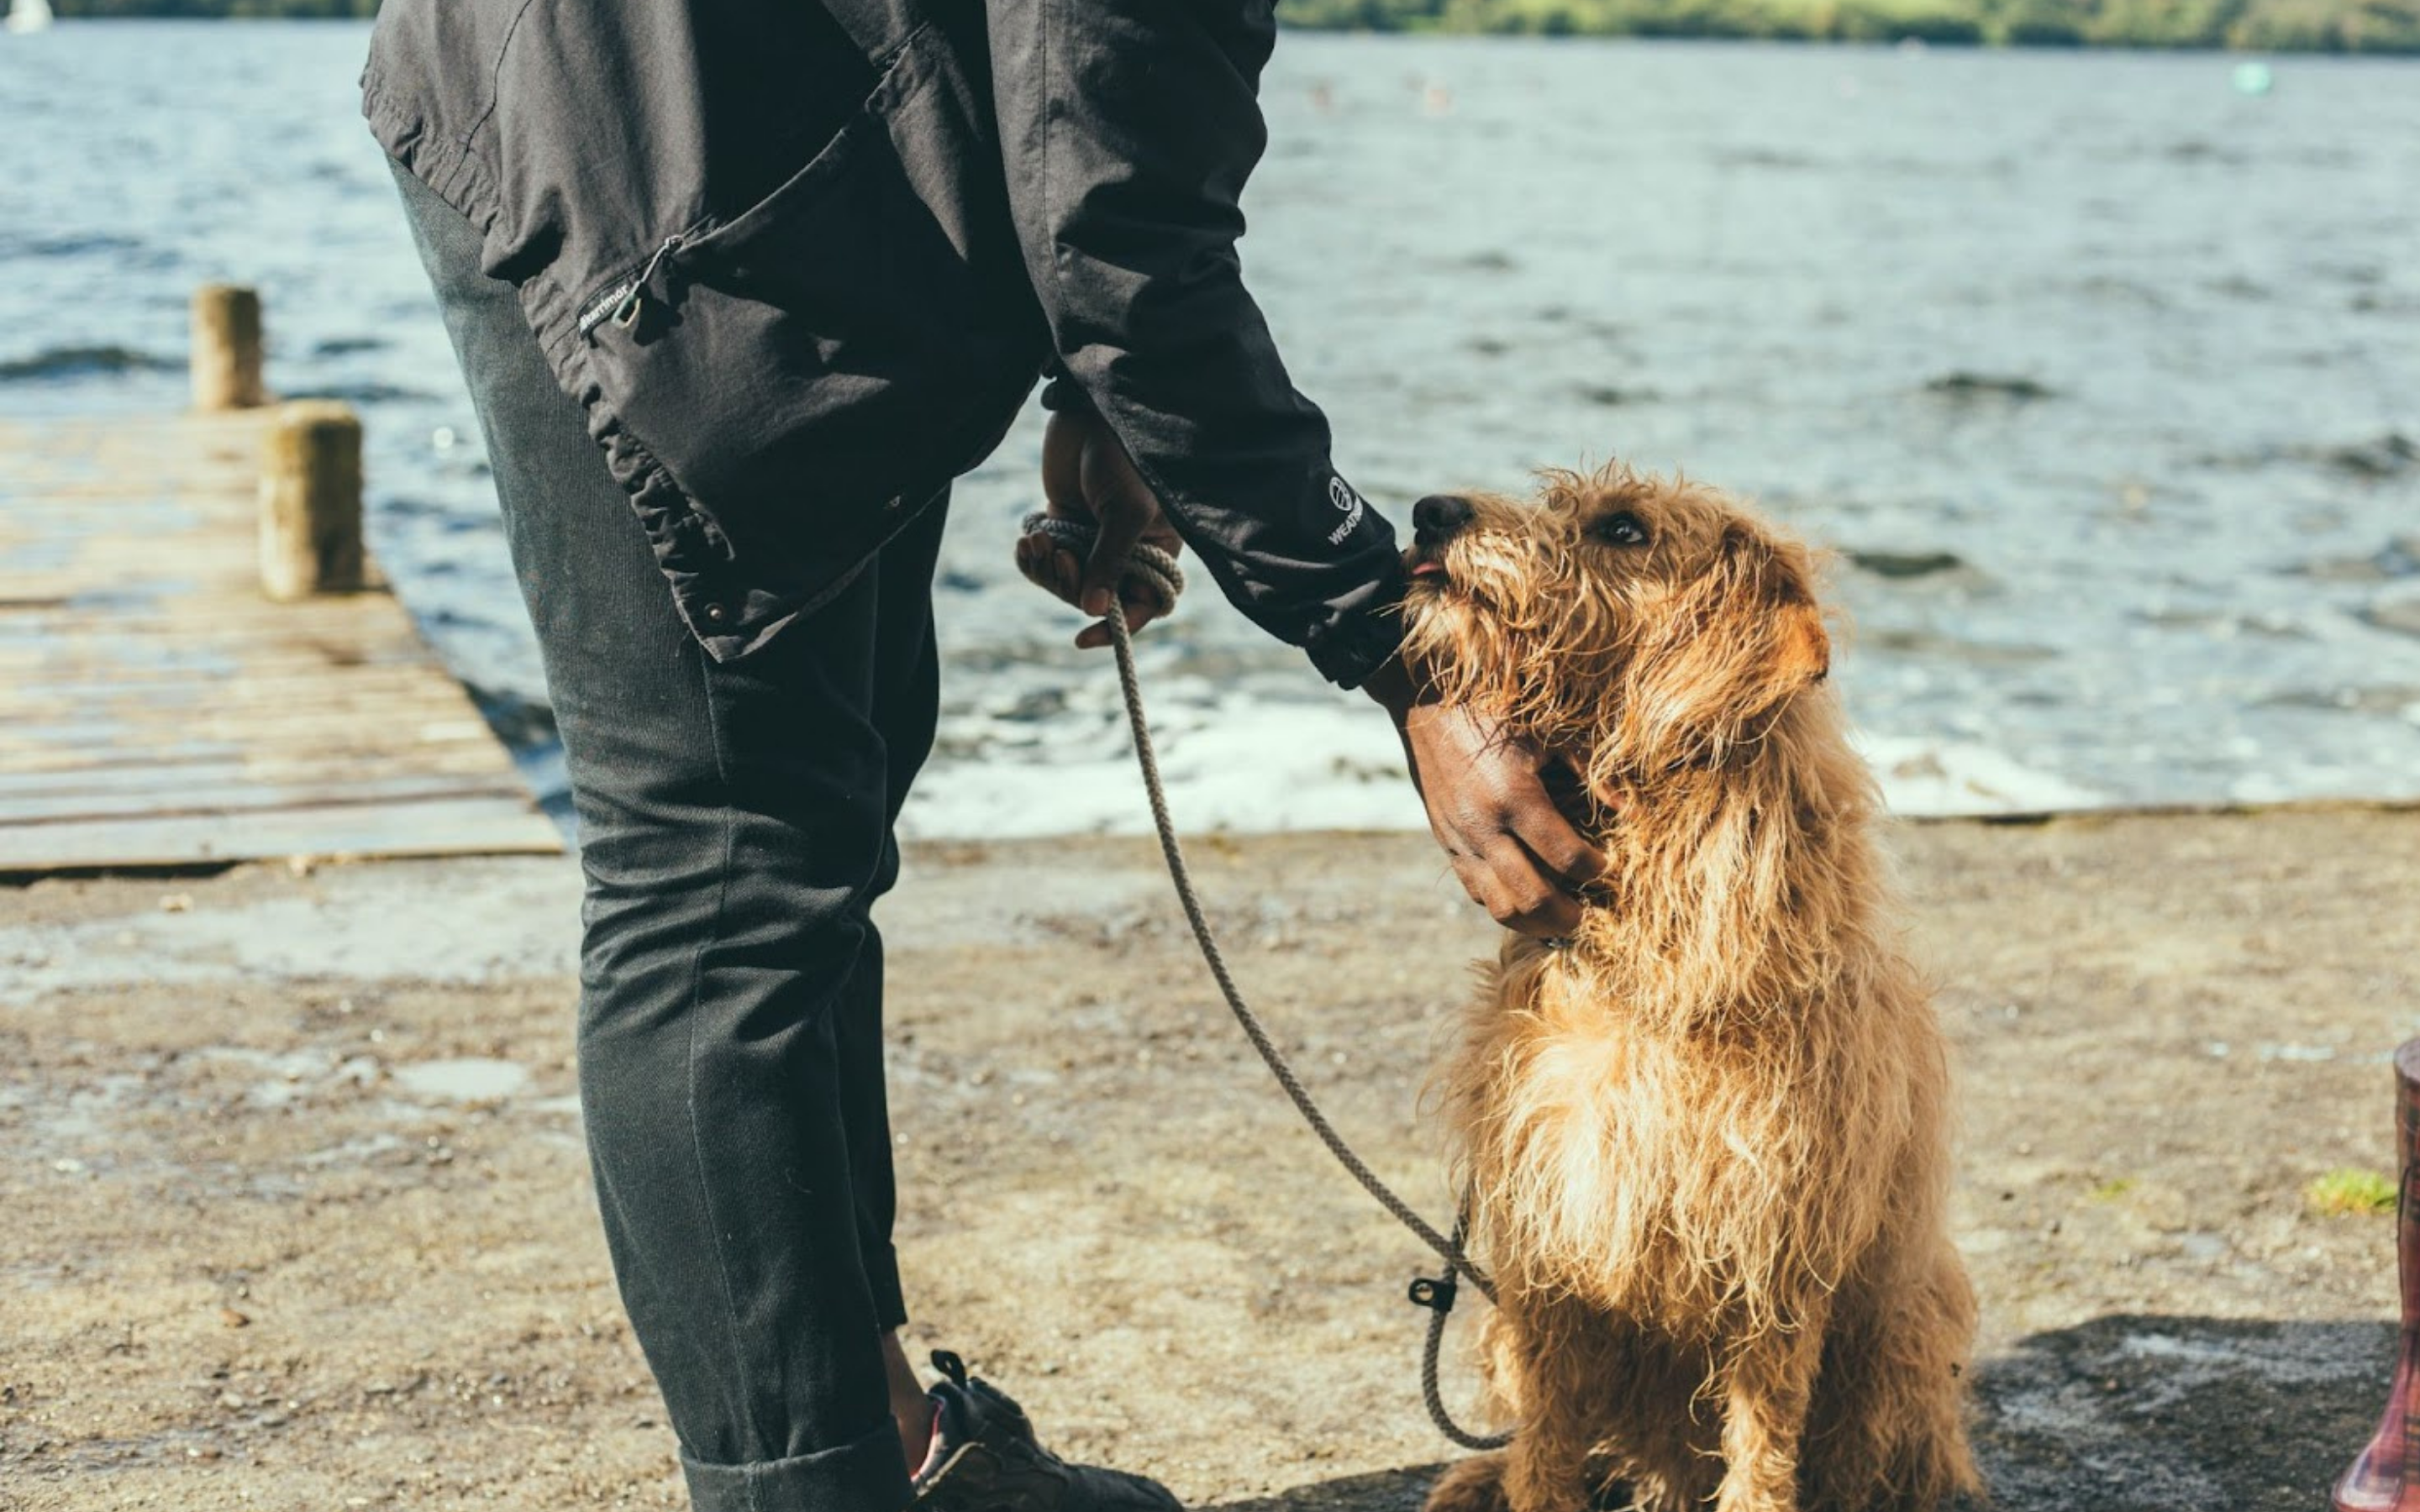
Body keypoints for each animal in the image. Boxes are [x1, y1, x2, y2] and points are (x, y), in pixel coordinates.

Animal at [1403, 462, 1984, 1509]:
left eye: (1624, 529)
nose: (1430, 512)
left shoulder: (1773, 1268)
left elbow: (1760, 1457)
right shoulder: (1549, 1253)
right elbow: (1546, 1448)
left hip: (1901, 1333)